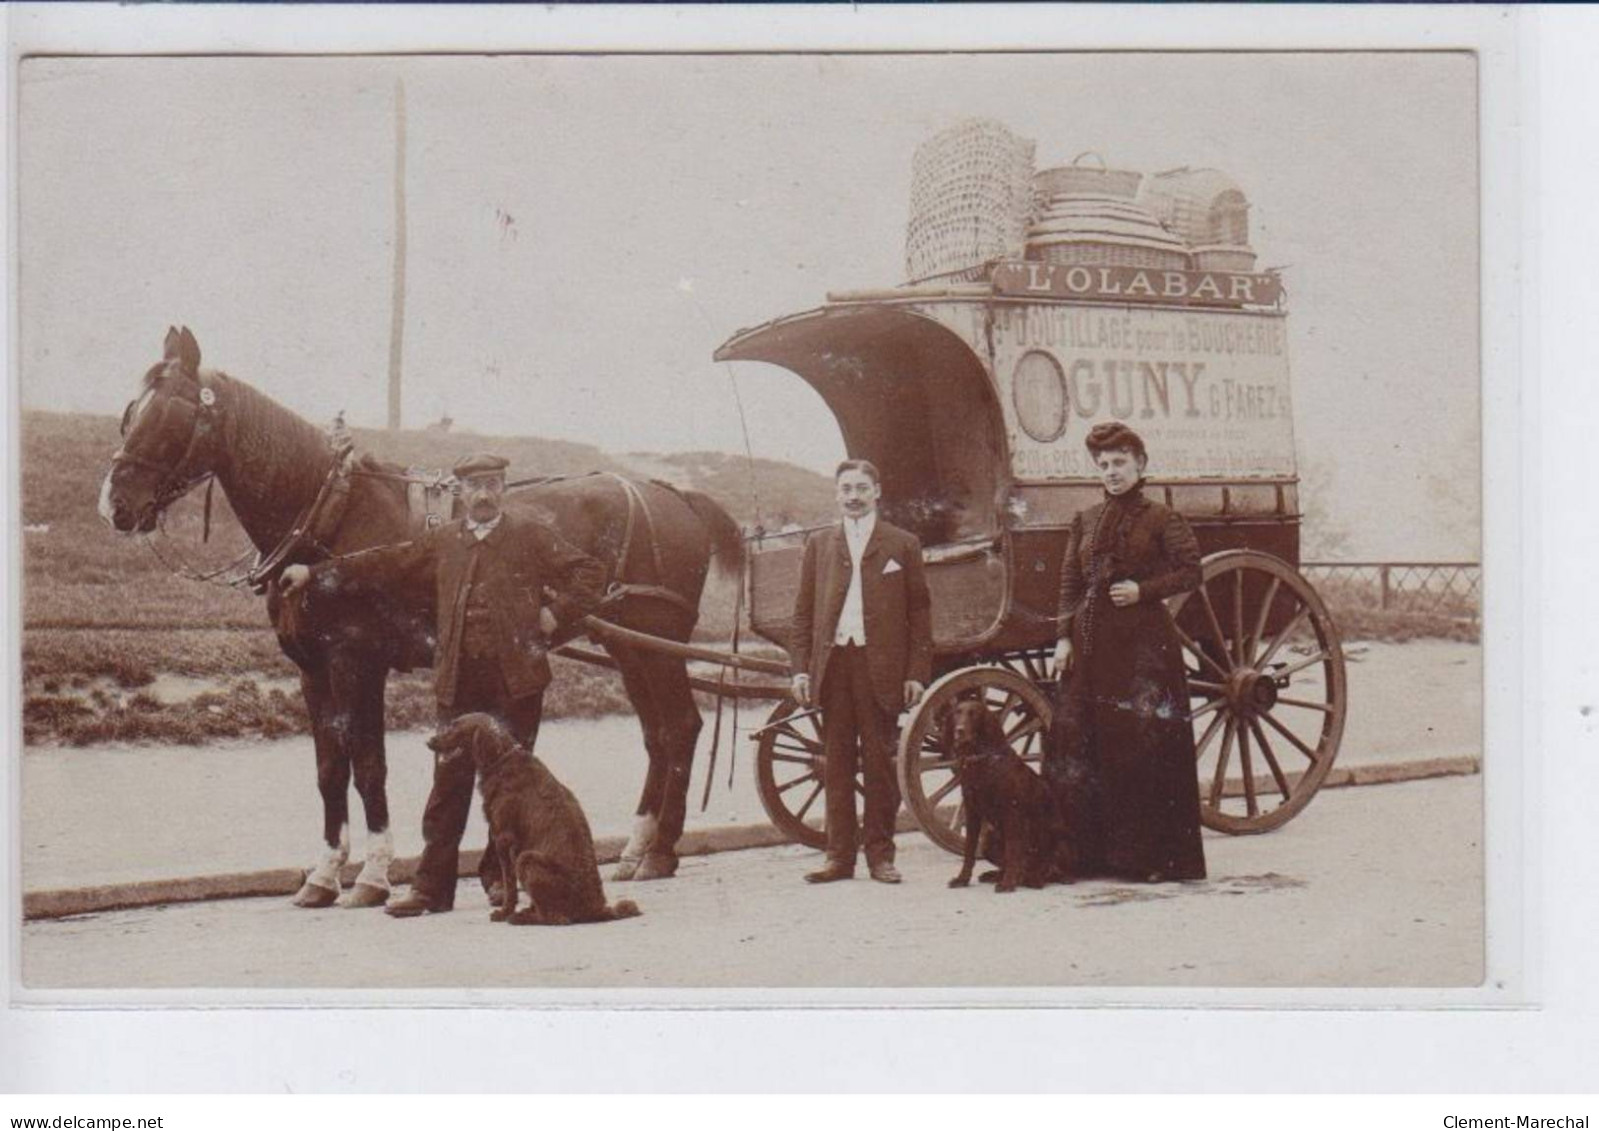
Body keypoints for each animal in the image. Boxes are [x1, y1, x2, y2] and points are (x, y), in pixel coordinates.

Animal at [98, 324, 741, 902]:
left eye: (169, 414)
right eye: (131, 410)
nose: (114, 505)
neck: (333, 516)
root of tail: (670, 494)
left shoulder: (356, 663)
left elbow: (367, 765)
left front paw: (374, 876)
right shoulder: (312, 672)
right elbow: (329, 770)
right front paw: (323, 876)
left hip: (654, 640)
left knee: (680, 728)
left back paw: (659, 852)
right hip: (631, 647)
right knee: (659, 735)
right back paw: (637, 849)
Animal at [434, 716, 645, 927]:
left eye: (454, 726)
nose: (430, 741)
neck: (501, 759)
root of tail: (596, 909)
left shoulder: (503, 838)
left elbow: (509, 885)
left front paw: (504, 912)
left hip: (527, 859)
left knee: (556, 918)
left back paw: (520, 917)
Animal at [940, 694, 1068, 895]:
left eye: (974, 714)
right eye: (957, 713)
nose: (959, 731)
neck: (982, 760)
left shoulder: (1011, 811)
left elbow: (1012, 850)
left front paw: (1008, 883)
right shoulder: (971, 811)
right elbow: (969, 851)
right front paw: (962, 879)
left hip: (1057, 839)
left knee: (1050, 868)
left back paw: (1032, 878)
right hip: (988, 838)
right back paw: (998, 875)